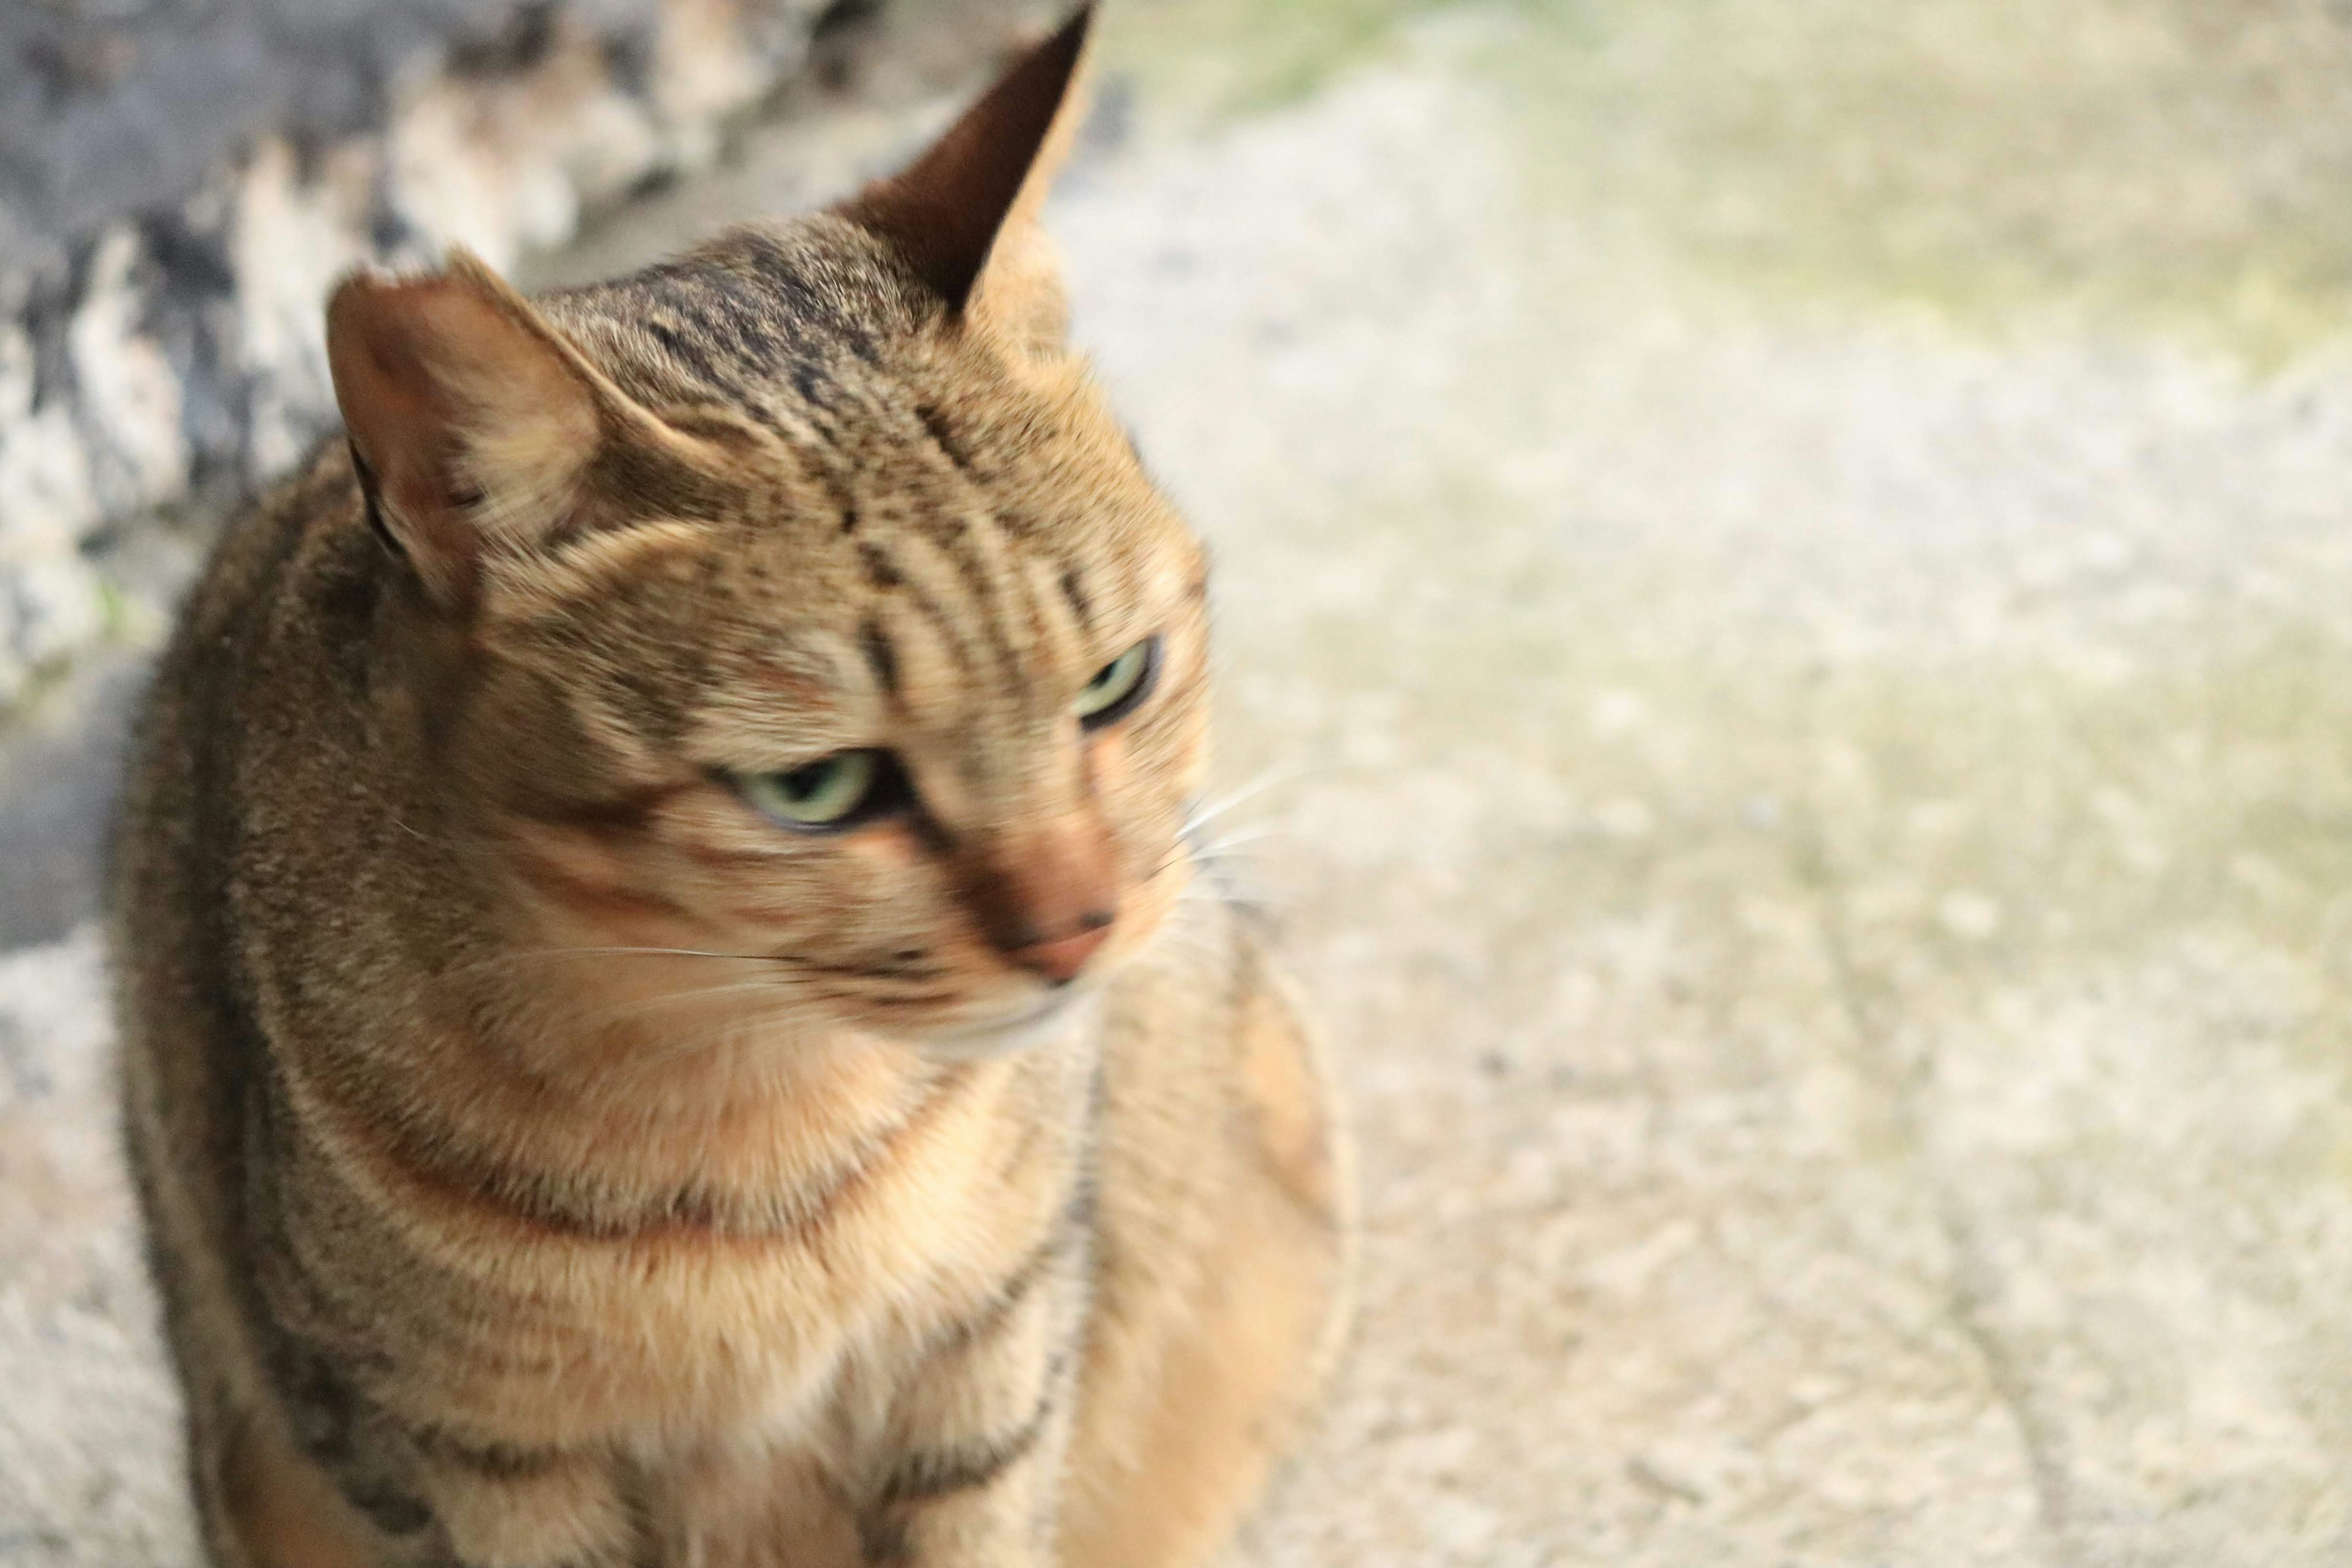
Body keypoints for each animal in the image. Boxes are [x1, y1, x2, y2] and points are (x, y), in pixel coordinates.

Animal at [110, 15, 1354, 1568]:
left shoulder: (986, 1350)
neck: (751, 1144)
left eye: (1115, 680)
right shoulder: (449, 1454)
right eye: (817, 784)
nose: (1080, 925)